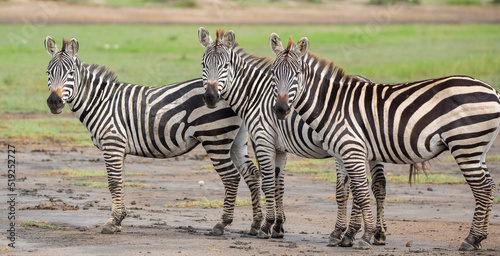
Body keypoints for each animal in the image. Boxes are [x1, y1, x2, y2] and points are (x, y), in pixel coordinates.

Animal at [43, 36, 264, 236]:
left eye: (71, 73)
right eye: (48, 72)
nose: (54, 102)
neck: (100, 102)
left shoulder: (112, 143)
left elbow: (113, 183)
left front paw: (111, 222)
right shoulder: (120, 149)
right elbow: (120, 182)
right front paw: (119, 220)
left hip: (215, 138)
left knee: (231, 177)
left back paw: (221, 224)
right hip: (236, 140)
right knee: (251, 173)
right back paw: (255, 225)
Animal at [197, 27, 388, 245]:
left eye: (226, 65)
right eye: (203, 64)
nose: (210, 97)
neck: (254, 95)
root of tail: (368, 80)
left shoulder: (263, 141)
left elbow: (268, 184)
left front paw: (266, 226)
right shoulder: (280, 147)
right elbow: (279, 185)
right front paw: (278, 227)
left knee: (360, 187)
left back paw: (351, 233)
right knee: (379, 185)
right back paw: (378, 234)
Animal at [270, 33, 500, 251]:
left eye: (297, 74)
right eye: (273, 74)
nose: (280, 109)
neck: (333, 105)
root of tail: (492, 90)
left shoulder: (351, 148)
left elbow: (361, 192)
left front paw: (365, 236)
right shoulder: (343, 152)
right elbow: (348, 190)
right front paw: (349, 235)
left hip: (465, 145)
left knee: (482, 188)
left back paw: (471, 239)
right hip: (478, 149)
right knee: (489, 186)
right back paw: (479, 239)